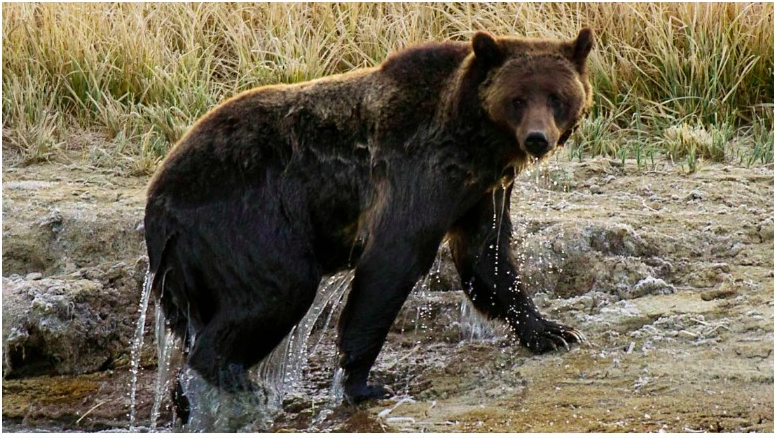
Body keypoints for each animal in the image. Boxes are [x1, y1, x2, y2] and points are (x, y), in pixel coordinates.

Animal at [144, 29, 596, 412]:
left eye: (556, 96)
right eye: (518, 98)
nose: (538, 138)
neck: (473, 143)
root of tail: (156, 201)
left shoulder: (479, 192)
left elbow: (488, 260)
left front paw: (552, 330)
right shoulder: (414, 172)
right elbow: (393, 261)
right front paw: (362, 382)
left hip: (189, 269)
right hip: (244, 219)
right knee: (279, 288)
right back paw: (239, 383)